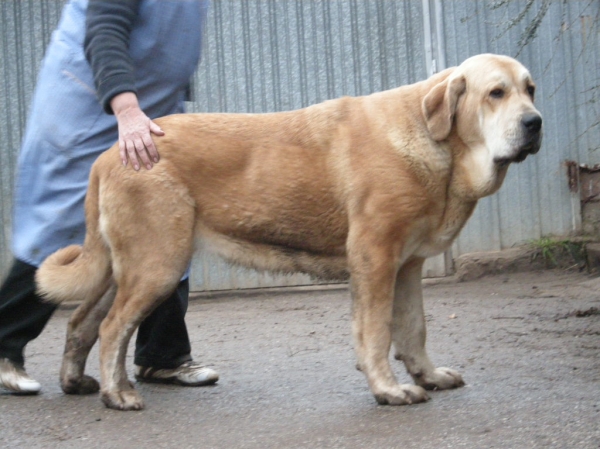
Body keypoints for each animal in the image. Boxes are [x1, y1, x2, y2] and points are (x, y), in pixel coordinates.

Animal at [37, 53, 544, 410]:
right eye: (495, 93)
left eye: (530, 90)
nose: (534, 122)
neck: (437, 143)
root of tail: (111, 153)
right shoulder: (375, 258)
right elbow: (377, 332)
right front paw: (388, 389)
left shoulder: (408, 266)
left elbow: (413, 330)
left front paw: (429, 376)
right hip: (157, 266)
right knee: (112, 328)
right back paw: (117, 395)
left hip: (122, 268)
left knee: (84, 323)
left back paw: (78, 382)